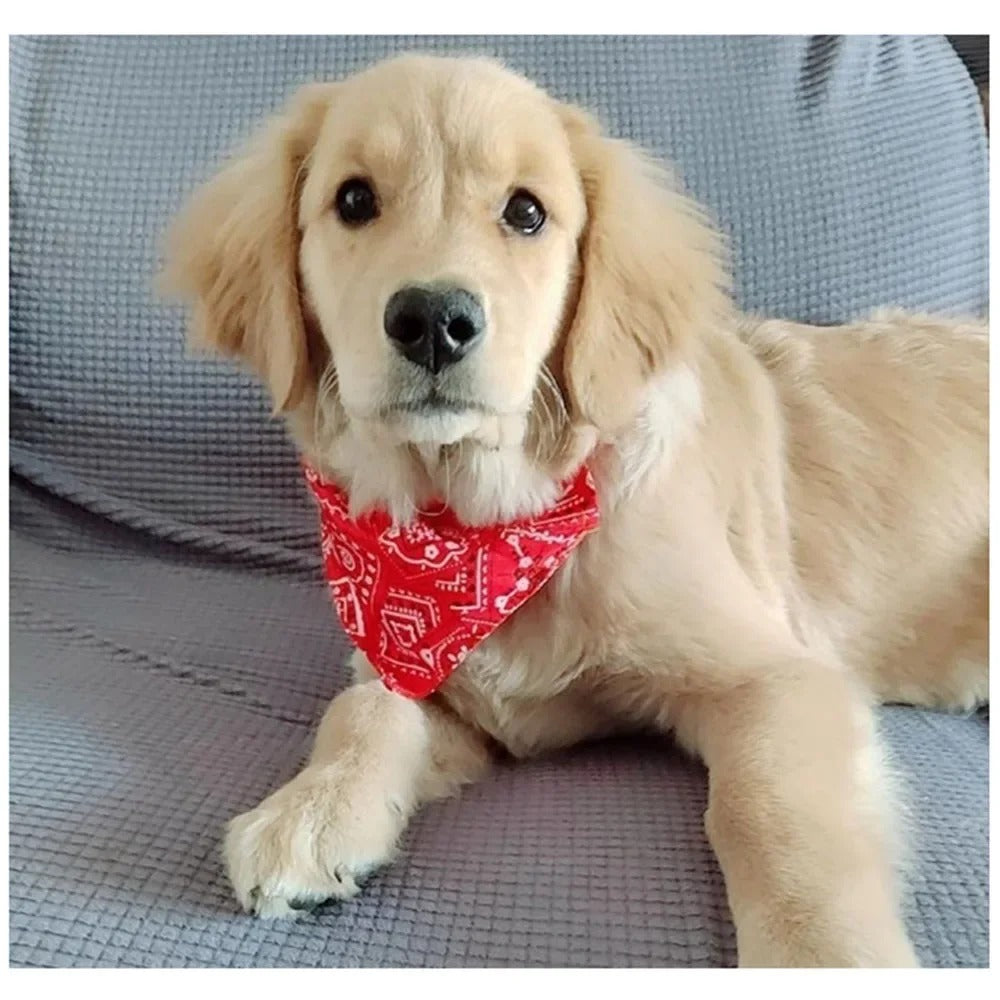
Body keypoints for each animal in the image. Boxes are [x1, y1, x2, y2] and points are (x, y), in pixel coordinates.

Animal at [162, 56, 984, 968]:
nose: (434, 321)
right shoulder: (419, 665)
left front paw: (822, 954)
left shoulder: (777, 676)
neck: (481, 529)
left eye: (526, 212)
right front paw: (312, 811)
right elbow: (366, 709)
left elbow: (769, 815)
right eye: (353, 200)